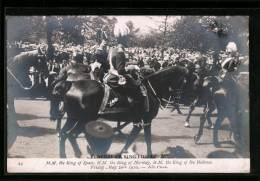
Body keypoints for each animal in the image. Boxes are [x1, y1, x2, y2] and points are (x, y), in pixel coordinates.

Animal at [58, 65, 190, 157]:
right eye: (184, 81)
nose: (179, 98)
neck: (150, 90)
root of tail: (71, 85)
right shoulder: (146, 120)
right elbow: (147, 139)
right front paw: (149, 154)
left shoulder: (138, 122)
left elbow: (131, 138)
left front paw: (122, 152)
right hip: (84, 120)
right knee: (70, 135)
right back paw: (78, 153)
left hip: (73, 119)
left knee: (64, 134)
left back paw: (63, 155)